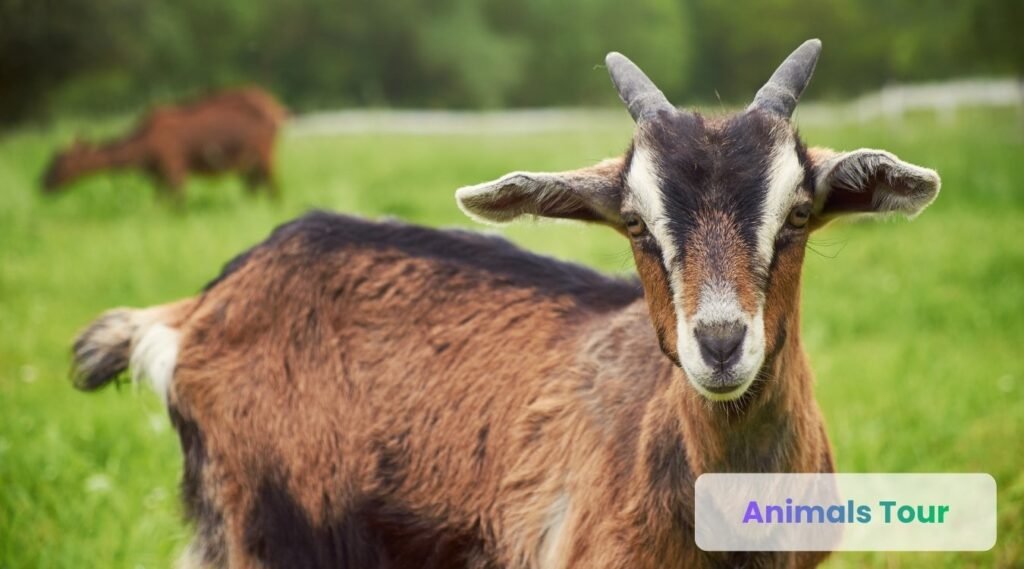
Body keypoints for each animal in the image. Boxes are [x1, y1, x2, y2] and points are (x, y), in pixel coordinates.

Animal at [42, 87, 287, 199]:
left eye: (59, 161)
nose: (42, 183)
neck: (143, 148)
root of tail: (277, 109)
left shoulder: (174, 168)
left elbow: (177, 204)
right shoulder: (158, 176)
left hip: (265, 154)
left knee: (272, 188)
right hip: (250, 162)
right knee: (255, 187)